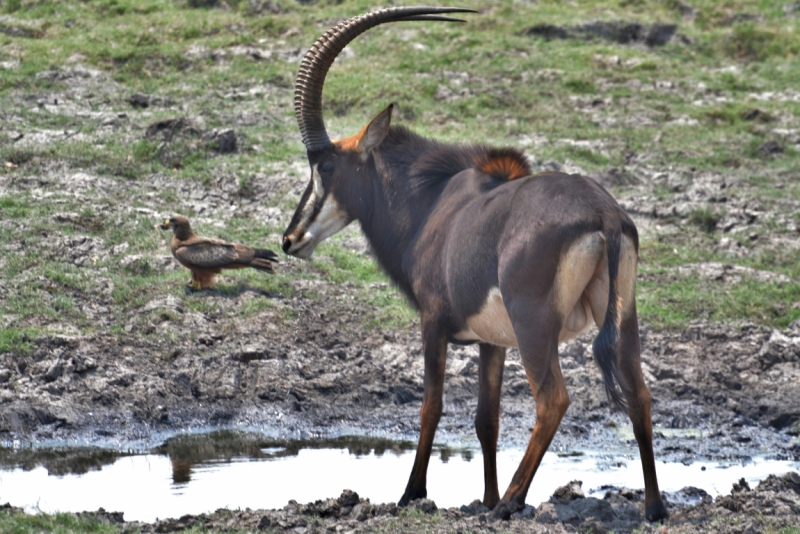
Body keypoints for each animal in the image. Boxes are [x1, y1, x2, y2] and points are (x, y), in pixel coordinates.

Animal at [282, 5, 668, 524]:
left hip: (534, 327)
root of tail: (601, 212)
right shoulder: (492, 342)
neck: (430, 203)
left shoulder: (433, 323)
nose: (291, 239)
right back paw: (653, 507)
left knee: (553, 399)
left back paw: (511, 502)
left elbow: (431, 405)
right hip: (622, 319)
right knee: (639, 394)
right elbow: (487, 418)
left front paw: (412, 494)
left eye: (325, 167)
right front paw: (482, 495)